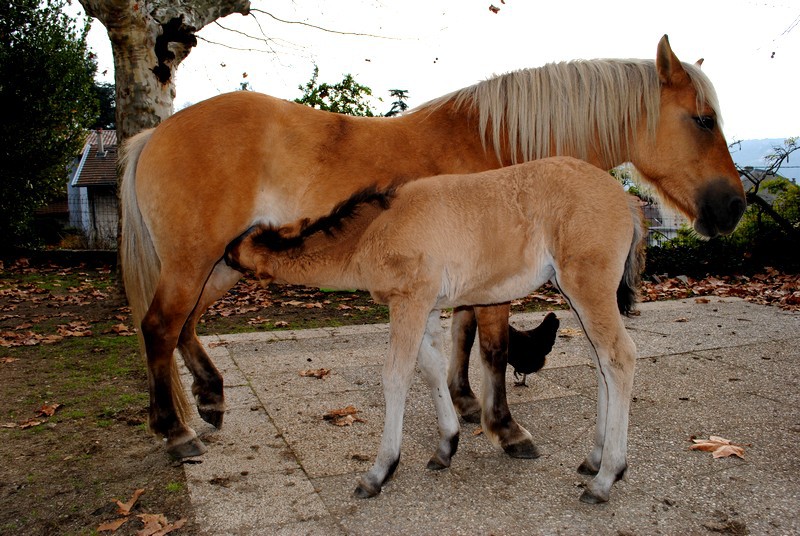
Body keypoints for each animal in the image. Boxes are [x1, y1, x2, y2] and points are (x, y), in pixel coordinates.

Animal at [119, 34, 744, 460]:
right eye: (703, 120)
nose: (734, 207)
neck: (499, 145)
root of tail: (155, 133)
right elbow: (492, 347)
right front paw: (505, 428)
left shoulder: (471, 276)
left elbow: (462, 339)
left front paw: (465, 405)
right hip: (193, 263)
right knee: (160, 326)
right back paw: (175, 431)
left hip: (221, 264)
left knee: (184, 326)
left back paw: (210, 397)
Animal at [223, 156, 644, 502]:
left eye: (238, 241)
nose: (223, 256)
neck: (375, 230)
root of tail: (625, 198)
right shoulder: (425, 307)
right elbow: (432, 370)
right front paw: (446, 445)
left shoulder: (408, 301)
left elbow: (396, 376)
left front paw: (379, 472)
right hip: (572, 290)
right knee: (601, 361)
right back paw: (594, 459)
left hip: (587, 286)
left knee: (619, 357)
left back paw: (606, 477)